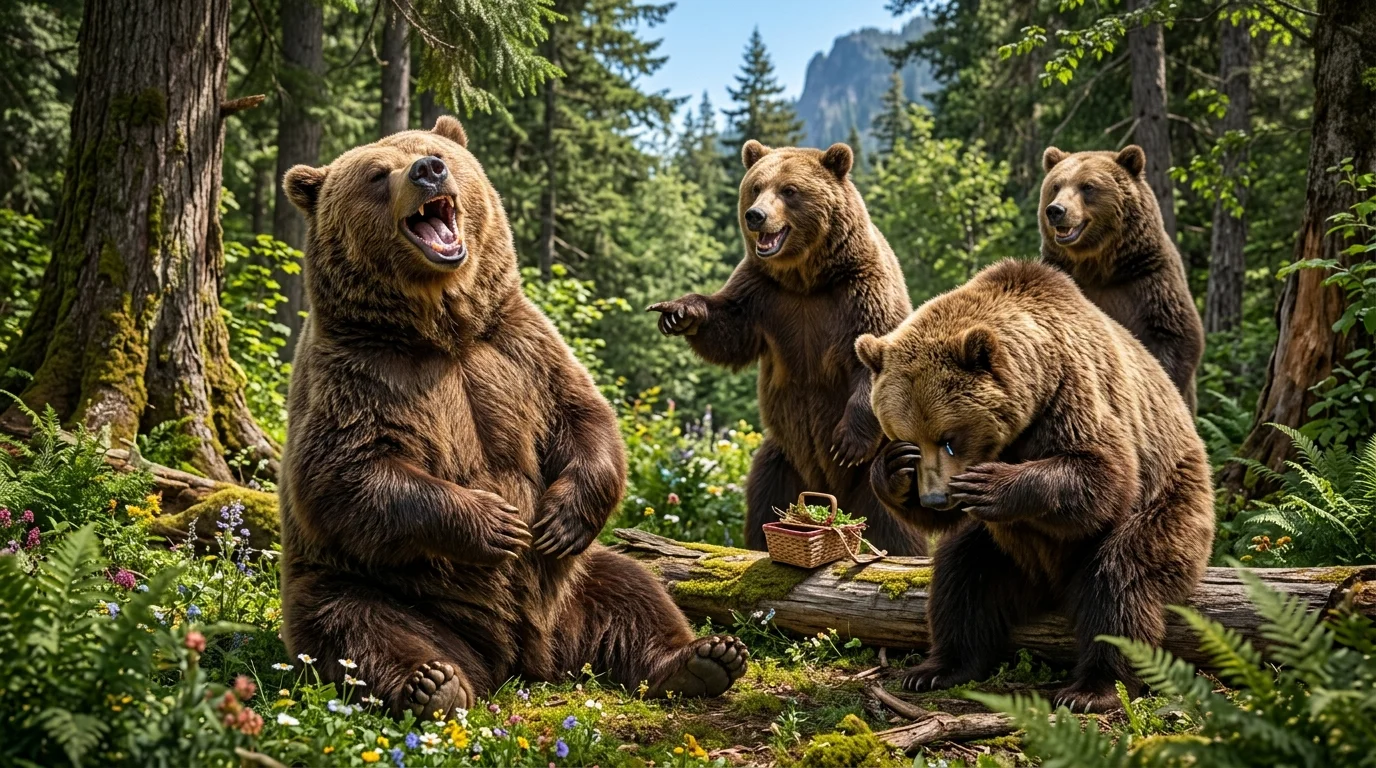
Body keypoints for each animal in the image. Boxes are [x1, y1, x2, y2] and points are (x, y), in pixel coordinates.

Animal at [277, 116, 747, 721]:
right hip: (378, 585)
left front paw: (557, 519)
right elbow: (346, 473)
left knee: (635, 589)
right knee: (353, 625)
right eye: (378, 174)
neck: (443, 331)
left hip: (576, 581)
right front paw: (495, 522)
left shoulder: (521, 350)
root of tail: (523, 659)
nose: (428, 171)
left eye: (434, 151)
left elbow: (584, 418)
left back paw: (703, 659)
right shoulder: (361, 375)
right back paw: (432, 684)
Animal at [649, 140, 925, 556]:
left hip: (869, 468)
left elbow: (873, 358)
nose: (755, 216)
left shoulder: (860, 292)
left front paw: (847, 442)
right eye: (756, 186)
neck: (807, 280)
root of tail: (825, 488)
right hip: (780, 461)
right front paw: (679, 312)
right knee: (764, 500)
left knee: (893, 524)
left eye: (789, 190)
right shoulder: (763, 295)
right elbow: (728, 332)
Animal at [856, 259, 1214, 713]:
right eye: (909, 438)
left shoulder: (1074, 391)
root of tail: (1049, 585)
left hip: (1171, 504)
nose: (935, 498)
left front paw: (990, 484)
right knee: (961, 577)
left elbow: (1104, 474)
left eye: (949, 437)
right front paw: (894, 468)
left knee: (1121, 580)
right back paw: (937, 668)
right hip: (1001, 549)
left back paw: (1092, 689)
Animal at [1039, 145, 1204, 413]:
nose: (1056, 210)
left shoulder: (1148, 279)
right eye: (1056, 185)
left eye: (1088, 186)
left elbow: (1174, 338)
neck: (1098, 265)